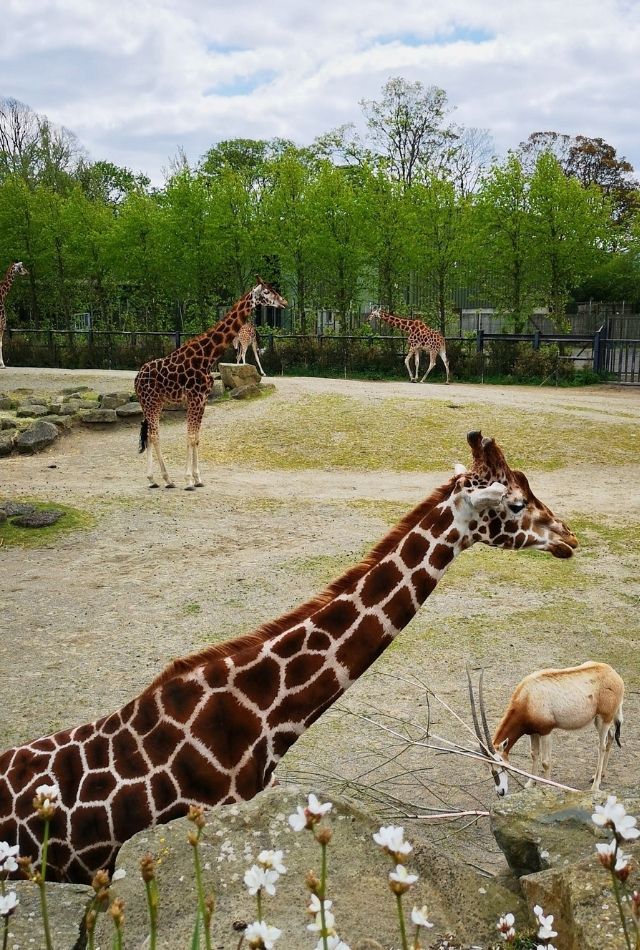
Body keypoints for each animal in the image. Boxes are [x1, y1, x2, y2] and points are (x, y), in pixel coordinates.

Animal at [134, 278, 286, 490]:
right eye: (266, 292)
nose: (284, 302)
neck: (207, 356)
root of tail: (137, 378)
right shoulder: (195, 398)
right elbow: (190, 436)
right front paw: (188, 480)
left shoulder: (203, 399)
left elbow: (196, 438)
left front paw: (198, 478)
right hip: (150, 402)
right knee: (154, 435)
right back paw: (165, 479)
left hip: (156, 402)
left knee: (149, 434)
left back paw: (156, 479)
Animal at [464, 660, 624, 796]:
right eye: (488, 767)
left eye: (502, 765)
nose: (501, 792)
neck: (527, 698)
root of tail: (615, 676)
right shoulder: (533, 732)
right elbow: (534, 755)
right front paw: (530, 784)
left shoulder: (546, 731)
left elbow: (545, 762)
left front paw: (547, 786)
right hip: (599, 720)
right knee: (610, 738)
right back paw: (600, 775)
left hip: (604, 719)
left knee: (601, 746)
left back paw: (595, 786)